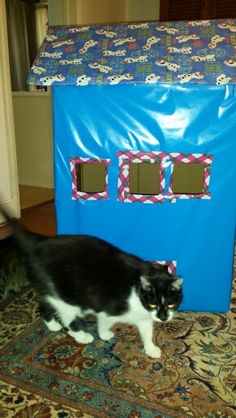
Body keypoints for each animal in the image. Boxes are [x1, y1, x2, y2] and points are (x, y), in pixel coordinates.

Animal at [0, 207, 183, 358]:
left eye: (171, 305)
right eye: (153, 304)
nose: (163, 318)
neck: (137, 290)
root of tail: (38, 244)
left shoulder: (144, 317)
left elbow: (147, 331)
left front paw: (151, 349)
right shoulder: (108, 308)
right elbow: (103, 323)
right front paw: (104, 335)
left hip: (50, 291)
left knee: (43, 306)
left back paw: (52, 326)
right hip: (67, 299)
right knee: (66, 319)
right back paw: (81, 336)